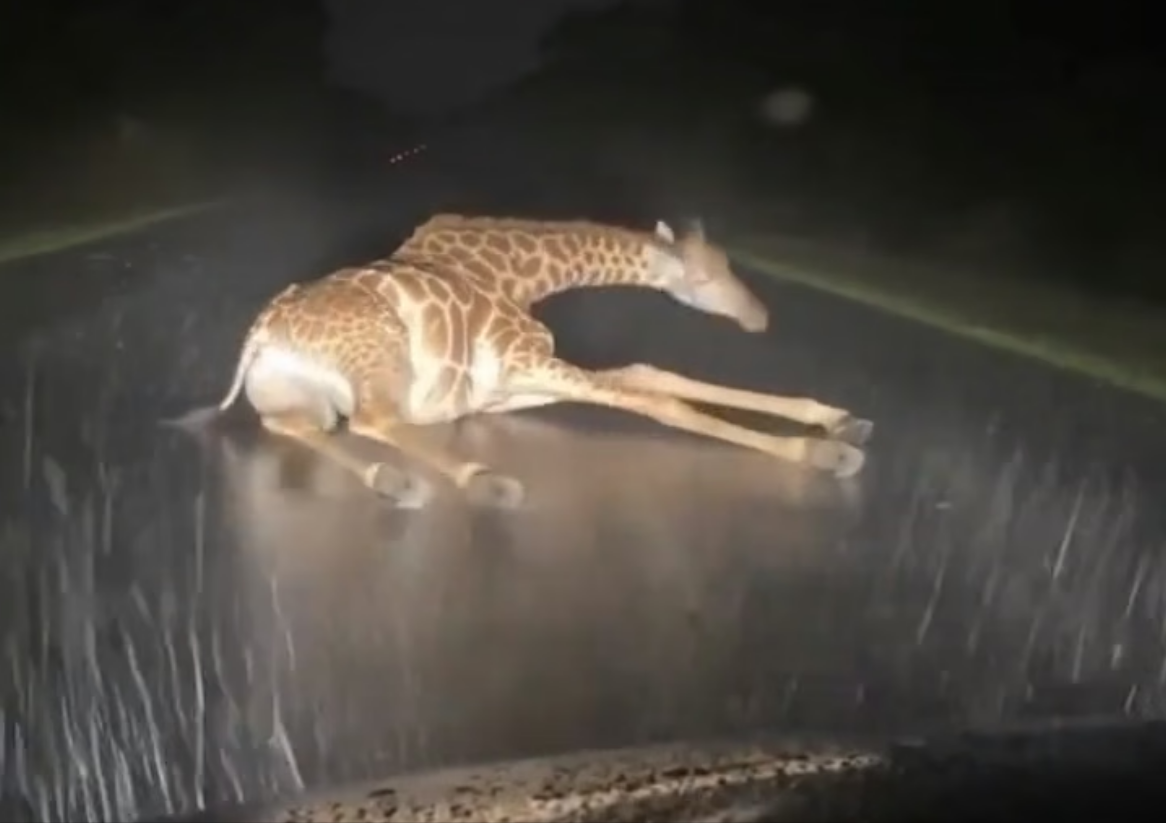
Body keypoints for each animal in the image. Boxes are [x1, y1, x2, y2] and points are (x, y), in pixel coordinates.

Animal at [189, 215, 873, 508]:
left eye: (732, 264)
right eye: (705, 276)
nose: (758, 317)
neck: (523, 279)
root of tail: (263, 333)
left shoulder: (510, 386)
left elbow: (645, 374)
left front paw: (840, 418)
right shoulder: (523, 361)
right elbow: (656, 400)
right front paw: (823, 452)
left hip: (299, 399)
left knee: (300, 428)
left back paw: (393, 481)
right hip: (380, 366)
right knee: (373, 420)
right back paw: (483, 480)